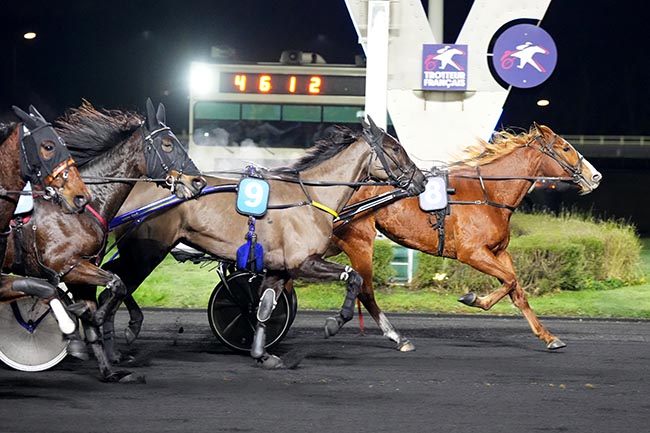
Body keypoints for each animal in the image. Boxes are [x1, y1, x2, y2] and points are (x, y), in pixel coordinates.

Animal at [101, 121, 426, 368]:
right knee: (115, 284)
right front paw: (334, 322)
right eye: (395, 148)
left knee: (114, 280)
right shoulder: (303, 262)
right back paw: (121, 335)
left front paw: (262, 353)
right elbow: (354, 278)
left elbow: (265, 308)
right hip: (146, 251)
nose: (421, 180)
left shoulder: (279, 268)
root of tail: (137, 186)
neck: (312, 198)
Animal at [326, 122, 600, 352]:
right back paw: (393, 336)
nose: (596, 176)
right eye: (565, 147)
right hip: (359, 240)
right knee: (366, 290)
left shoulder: (499, 252)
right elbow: (510, 280)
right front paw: (474, 298)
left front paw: (548, 337)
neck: (489, 193)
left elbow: (516, 289)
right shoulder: (472, 253)